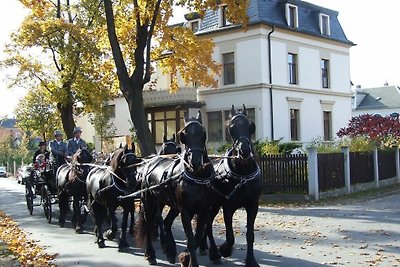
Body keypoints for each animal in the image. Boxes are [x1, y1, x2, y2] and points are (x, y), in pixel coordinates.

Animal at [136, 111, 214, 267]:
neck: (196, 177)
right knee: (149, 224)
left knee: (165, 222)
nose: (195, 162)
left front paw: (185, 257)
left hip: (167, 203)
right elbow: (190, 241)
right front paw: (191, 262)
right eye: (183, 134)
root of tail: (148, 163)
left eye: (203, 133)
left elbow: (197, 237)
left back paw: (170, 251)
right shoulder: (185, 211)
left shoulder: (203, 210)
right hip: (150, 202)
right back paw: (151, 254)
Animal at [202, 105, 260, 267]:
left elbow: (250, 235)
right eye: (231, 128)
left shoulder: (253, 205)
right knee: (207, 225)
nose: (244, 151)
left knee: (206, 225)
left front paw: (251, 260)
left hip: (215, 205)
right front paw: (225, 250)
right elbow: (230, 236)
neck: (242, 174)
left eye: (251, 126)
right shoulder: (228, 206)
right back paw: (214, 253)